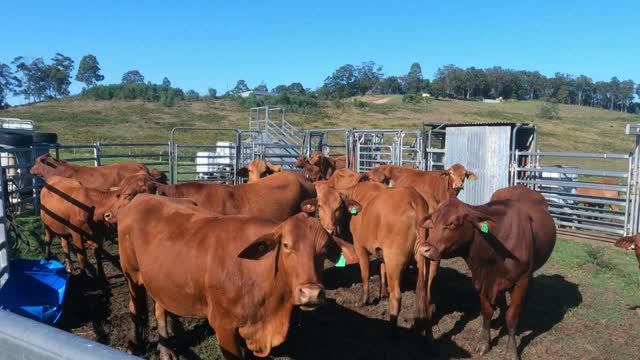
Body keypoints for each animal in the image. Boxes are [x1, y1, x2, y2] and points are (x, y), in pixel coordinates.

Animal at [118, 198, 342, 358]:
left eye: (324, 250)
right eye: (286, 245)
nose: (311, 293)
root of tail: (140, 198)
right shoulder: (223, 325)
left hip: (159, 280)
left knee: (160, 308)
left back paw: (166, 351)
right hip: (131, 274)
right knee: (135, 306)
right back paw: (134, 344)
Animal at [302, 183, 432, 334]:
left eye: (339, 207)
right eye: (320, 205)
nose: (330, 230)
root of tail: (414, 198)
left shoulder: (360, 247)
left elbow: (365, 274)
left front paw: (363, 300)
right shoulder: (381, 251)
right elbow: (382, 270)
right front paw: (383, 293)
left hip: (394, 258)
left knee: (396, 296)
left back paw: (391, 328)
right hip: (426, 259)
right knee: (425, 295)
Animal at [420, 186, 556, 360]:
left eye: (453, 223)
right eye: (432, 222)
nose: (425, 249)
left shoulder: (521, 280)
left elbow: (512, 316)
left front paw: (511, 351)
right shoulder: (483, 279)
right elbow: (486, 311)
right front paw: (484, 343)